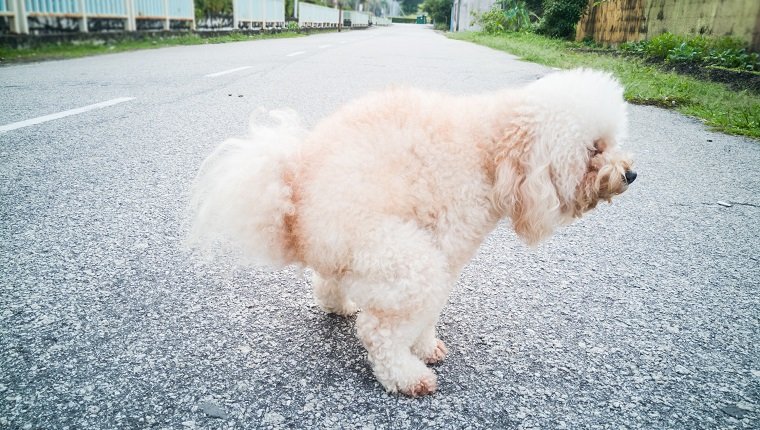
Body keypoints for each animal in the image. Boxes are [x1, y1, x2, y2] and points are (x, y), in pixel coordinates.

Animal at [189, 68, 636, 396]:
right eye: (595, 148)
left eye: (612, 143)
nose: (630, 174)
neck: (491, 152)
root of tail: (293, 204)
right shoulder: (445, 244)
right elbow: (424, 309)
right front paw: (419, 350)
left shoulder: (448, 257)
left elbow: (431, 312)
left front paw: (425, 344)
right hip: (398, 254)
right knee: (378, 332)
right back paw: (406, 376)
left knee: (330, 281)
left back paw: (338, 305)